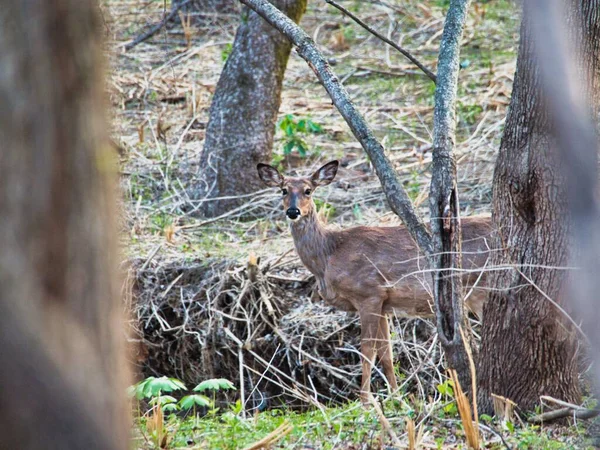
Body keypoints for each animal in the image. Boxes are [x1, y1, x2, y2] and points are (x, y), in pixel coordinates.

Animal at [258, 160, 492, 402]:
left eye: (308, 190)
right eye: (283, 190)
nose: (292, 211)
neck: (329, 255)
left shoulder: (369, 293)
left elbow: (367, 350)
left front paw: (365, 400)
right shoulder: (384, 304)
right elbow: (386, 353)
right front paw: (397, 396)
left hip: (483, 289)